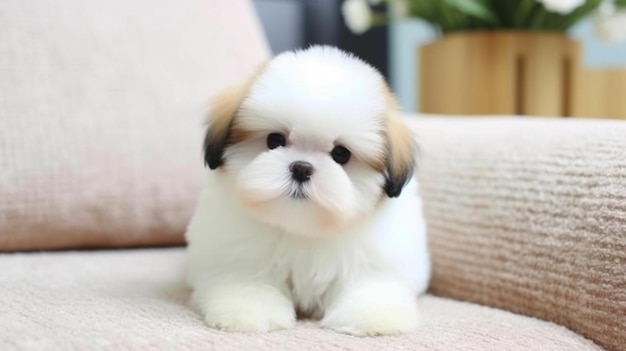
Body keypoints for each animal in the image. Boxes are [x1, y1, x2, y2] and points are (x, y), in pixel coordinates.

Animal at [185, 46, 428, 336]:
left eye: (341, 154)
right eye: (275, 140)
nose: (301, 168)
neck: (302, 228)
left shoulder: (374, 260)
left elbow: (370, 283)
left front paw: (372, 316)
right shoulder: (240, 257)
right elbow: (248, 280)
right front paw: (248, 310)